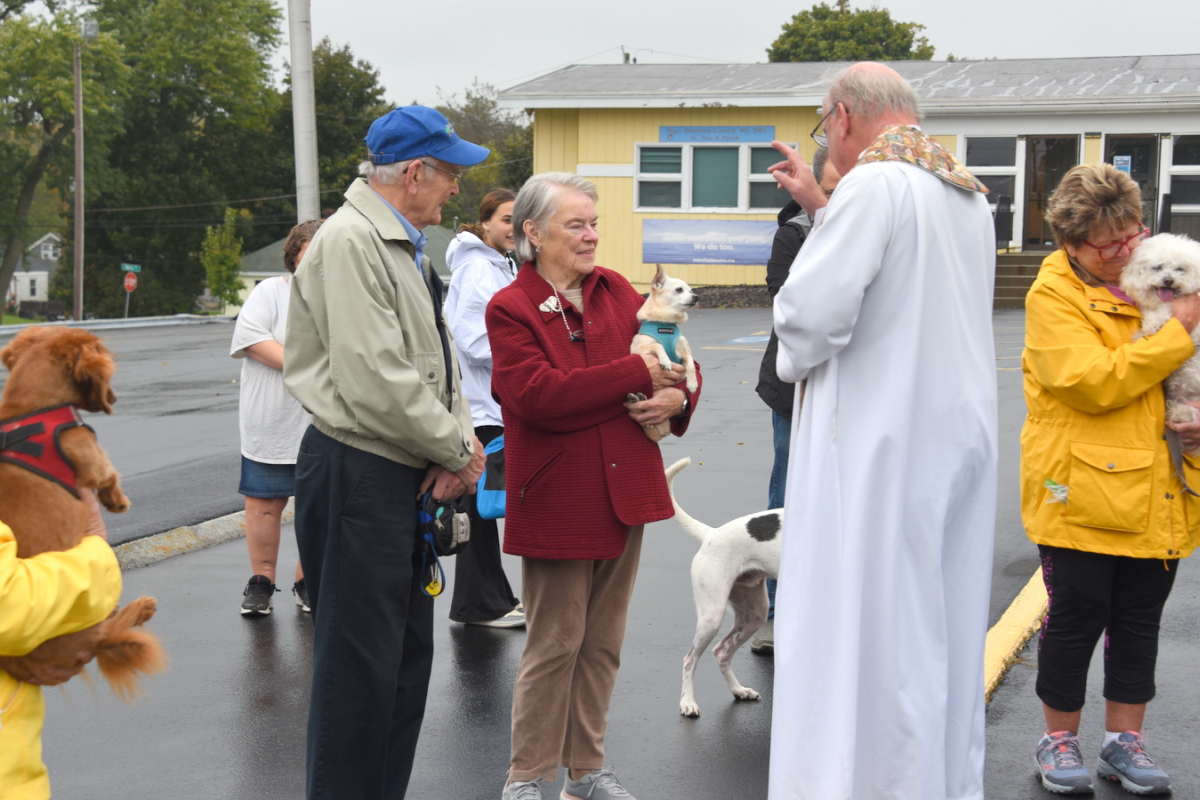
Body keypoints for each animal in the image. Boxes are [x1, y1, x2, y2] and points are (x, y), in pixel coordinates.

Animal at [0, 326, 164, 700]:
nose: (115, 399)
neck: (29, 405)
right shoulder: (90, 455)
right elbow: (110, 473)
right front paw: (117, 501)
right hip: (84, 624)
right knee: (106, 634)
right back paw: (140, 608)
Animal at [633, 263, 700, 441]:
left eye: (691, 290)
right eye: (679, 290)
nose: (696, 296)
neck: (665, 325)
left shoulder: (685, 352)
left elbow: (691, 363)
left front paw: (692, 384)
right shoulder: (640, 350)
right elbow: (658, 346)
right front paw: (665, 361)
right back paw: (635, 398)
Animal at [1118, 231, 1200, 424]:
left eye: (1179, 269)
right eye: (1158, 267)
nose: (1168, 280)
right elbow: (1154, 312)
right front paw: (1151, 325)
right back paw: (1181, 413)